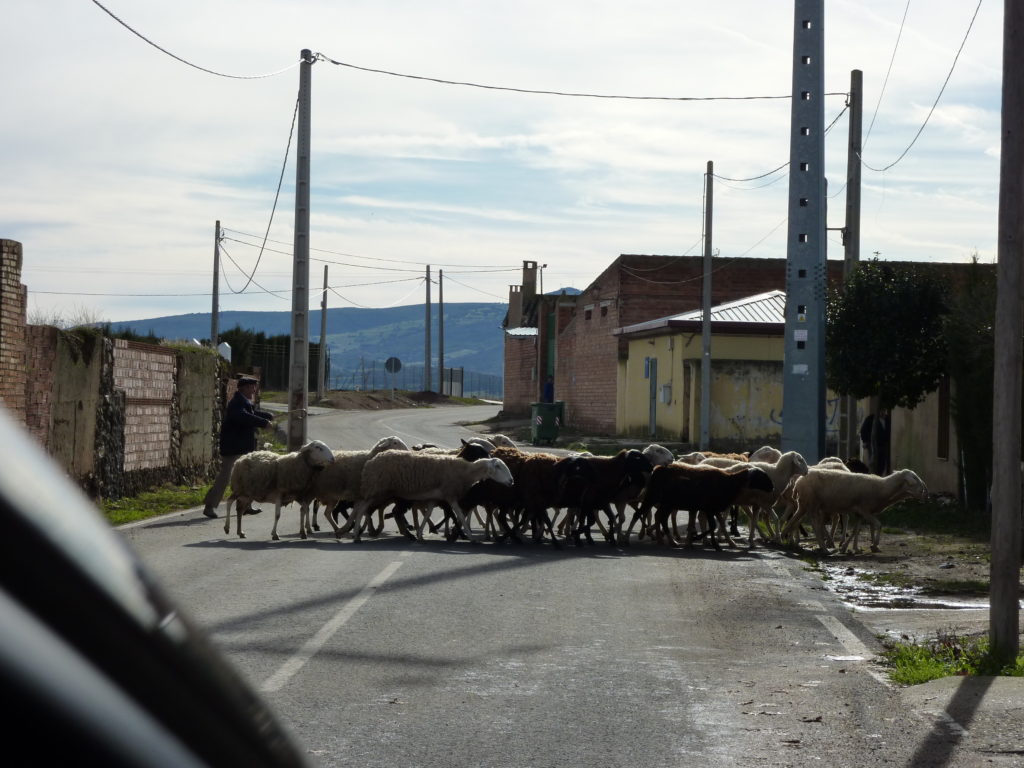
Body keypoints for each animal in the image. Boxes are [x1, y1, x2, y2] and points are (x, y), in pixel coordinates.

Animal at [346, 454, 512, 544]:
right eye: (499, 467)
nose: (512, 481)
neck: (466, 472)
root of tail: (370, 462)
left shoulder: (436, 496)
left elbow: (428, 513)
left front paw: (421, 533)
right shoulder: (450, 494)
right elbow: (459, 515)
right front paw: (471, 537)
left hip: (376, 490)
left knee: (361, 506)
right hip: (375, 489)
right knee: (361, 509)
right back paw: (355, 535)